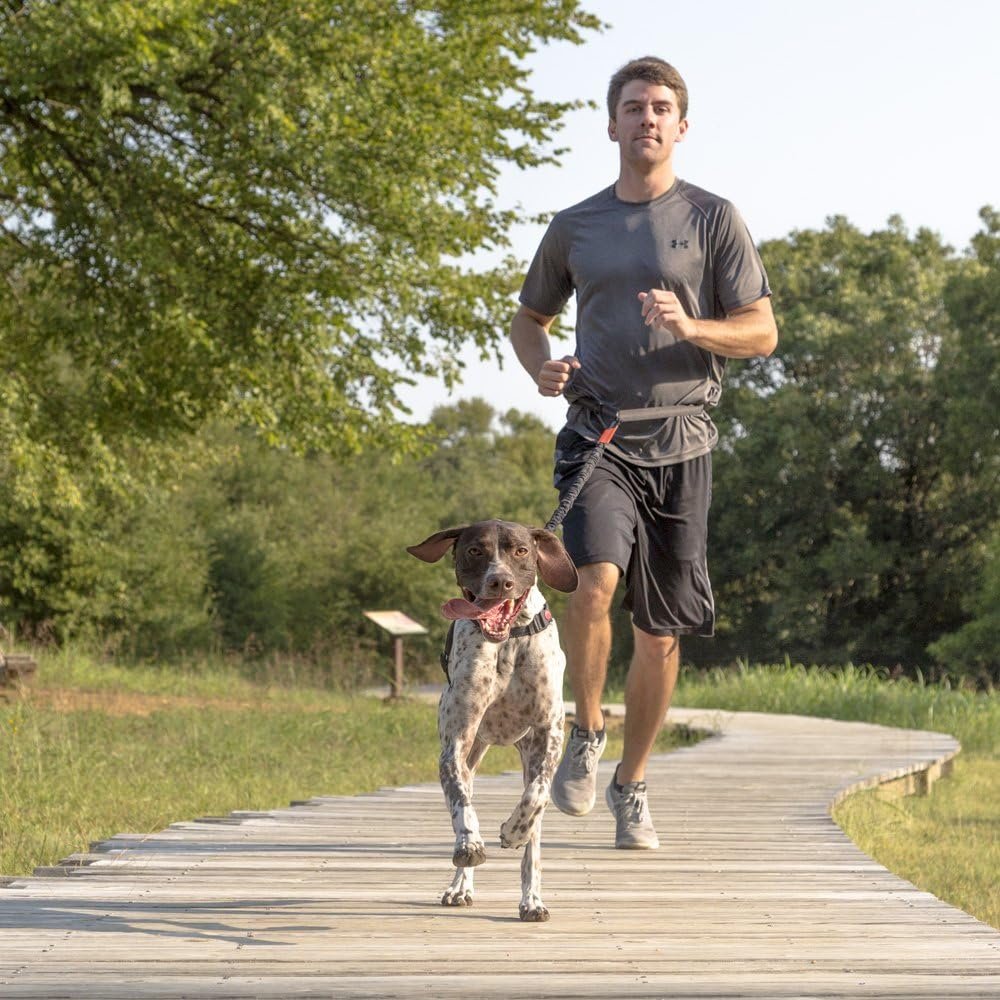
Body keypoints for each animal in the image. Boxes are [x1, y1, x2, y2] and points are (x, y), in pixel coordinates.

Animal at [407, 519, 578, 921]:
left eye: (521, 550)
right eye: (475, 550)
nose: (500, 581)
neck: (509, 639)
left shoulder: (549, 734)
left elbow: (537, 795)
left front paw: (513, 831)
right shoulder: (456, 743)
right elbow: (460, 803)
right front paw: (470, 844)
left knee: (535, 836)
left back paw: (532, 900)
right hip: (473, 753)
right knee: (465, 797)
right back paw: (460, 886)